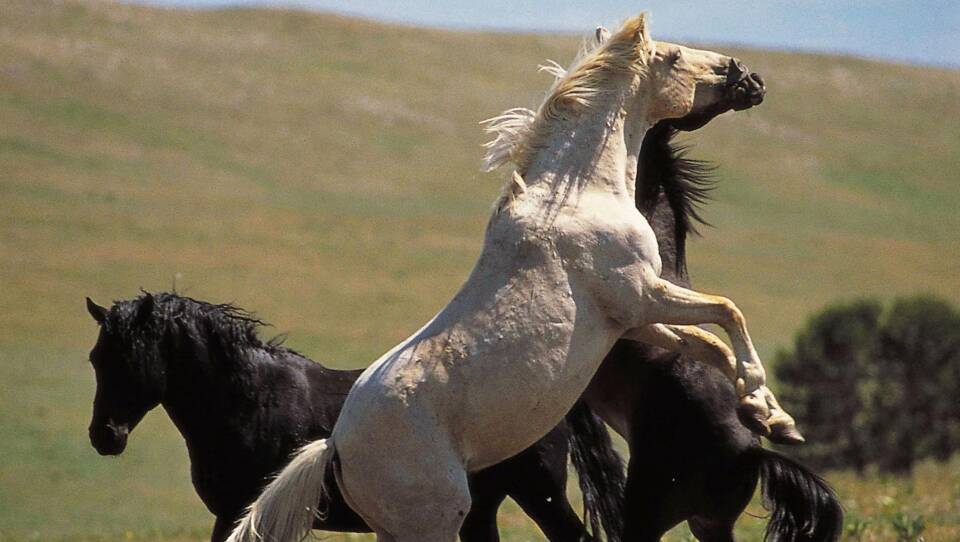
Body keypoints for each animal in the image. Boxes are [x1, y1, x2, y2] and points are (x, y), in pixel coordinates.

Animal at [84, 292, 604, 542]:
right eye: (95, 358)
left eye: (130, 358)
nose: (104, 436)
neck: (249, 401)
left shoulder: (236, 511)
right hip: (481, 509)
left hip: (539, 496)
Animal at [230, 15, 798, 542]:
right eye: (675, 57)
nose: (748, 77)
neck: (578, 197)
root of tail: (336, 448)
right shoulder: (642, 296)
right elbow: (728, 311)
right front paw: (767, 408)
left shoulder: (632, 322)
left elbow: (710, 343)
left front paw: (768, 416)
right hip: (437, 521)